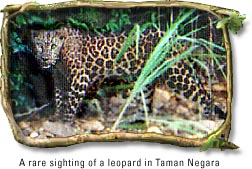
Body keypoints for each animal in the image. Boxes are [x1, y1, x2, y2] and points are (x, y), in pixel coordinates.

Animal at [30, 27, 226, 123]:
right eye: (39, 45)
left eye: (52, 46)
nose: (45, 57)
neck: (58, 60)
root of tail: (174, 39)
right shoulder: (60, 81)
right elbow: (60, 99)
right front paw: (56, 118)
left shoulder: (79, 78)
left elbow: (70, 103)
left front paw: (66, 123)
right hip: (147, 78)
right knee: (146, 101)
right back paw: (134, 118)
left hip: (176, 75)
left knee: (204, 94)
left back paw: (207, 119)